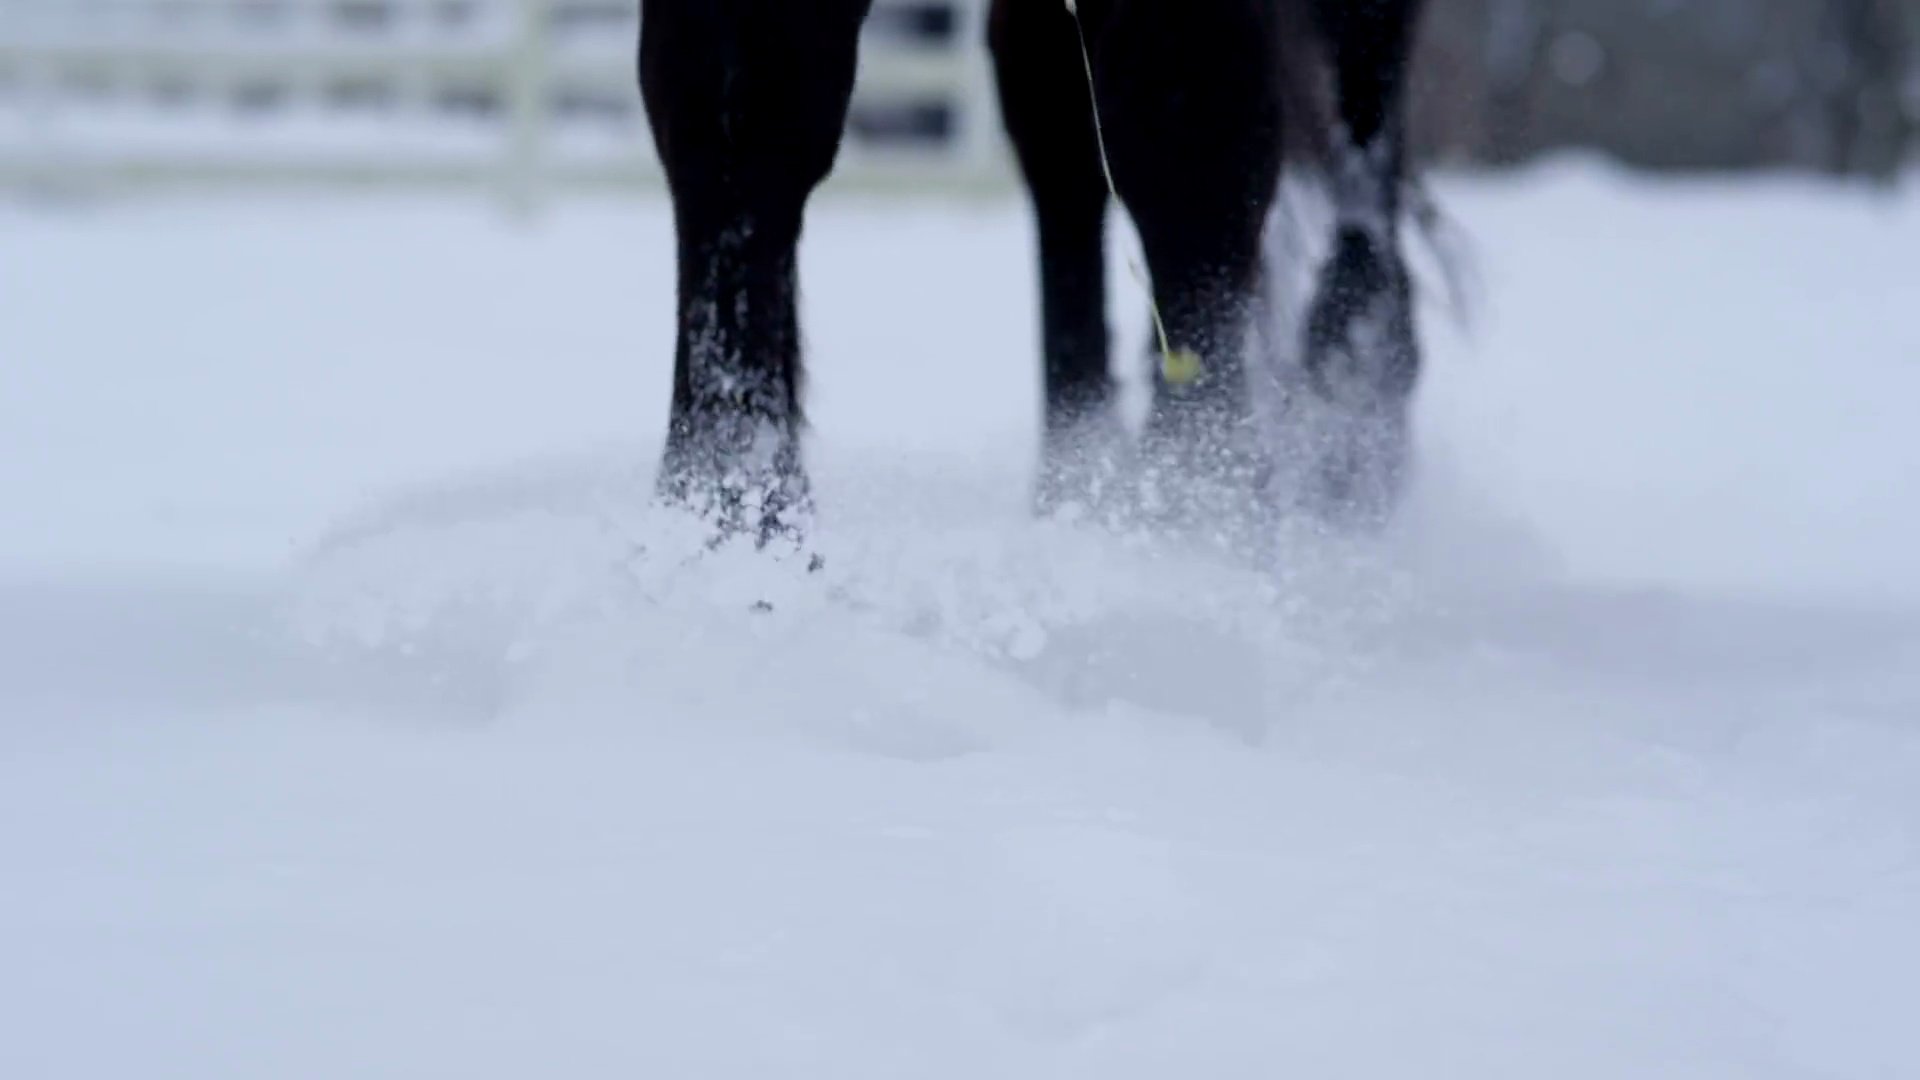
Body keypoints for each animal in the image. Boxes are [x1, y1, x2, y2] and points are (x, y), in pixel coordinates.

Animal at [641, 0, 1428, 541]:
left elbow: (1185, 130)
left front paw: (1198, 515)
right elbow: (739, 117)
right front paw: (731, 520)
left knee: (1362, 91)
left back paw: (1354, 393)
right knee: (1056, 111)